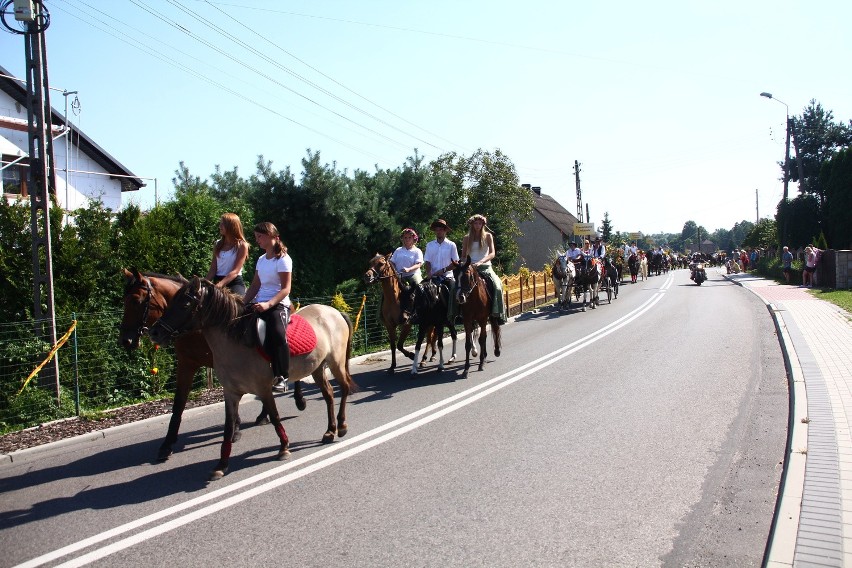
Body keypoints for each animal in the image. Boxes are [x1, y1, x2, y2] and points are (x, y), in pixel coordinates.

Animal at [150, 276, 356, 480]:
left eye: (185, 304)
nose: (155, 332)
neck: (238, 341)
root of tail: (334, 312)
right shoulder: (230, 393)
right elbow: (229, 426)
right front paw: (221, 465)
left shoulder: (263, 389)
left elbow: (274, 415)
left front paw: (284, 447)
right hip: (318, 368)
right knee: (329, 395)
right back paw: (330, 431)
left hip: (336, 362)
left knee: (344, 388)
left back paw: (342, 426)